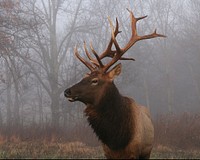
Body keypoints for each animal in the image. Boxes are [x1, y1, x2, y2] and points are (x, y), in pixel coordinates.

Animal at [64, 9, 166, 159]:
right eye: (84, 77)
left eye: (95, 80)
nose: (67, 91)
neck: (117, 139)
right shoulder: (108, 153)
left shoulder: (134, 152)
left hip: (147, 151)